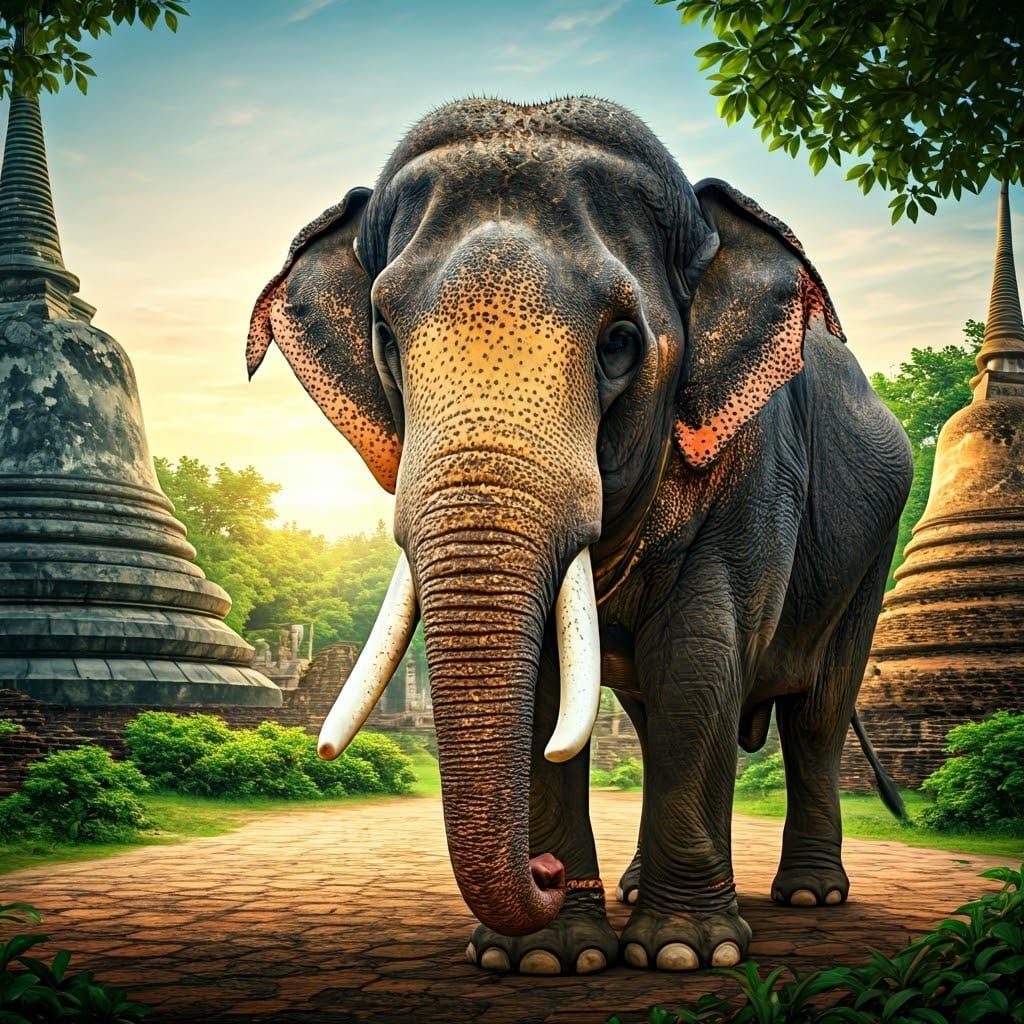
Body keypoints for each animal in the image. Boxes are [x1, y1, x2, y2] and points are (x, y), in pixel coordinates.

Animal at [246, 97, 912, 976]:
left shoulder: (755, 463)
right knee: (652, 711)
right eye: (385, 335)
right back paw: (632, 890)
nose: (549, 874)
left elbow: (697, 659)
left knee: (814, 716)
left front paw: (684, 953)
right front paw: (543, 958)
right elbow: (560, 687)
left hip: (871, 554)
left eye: (620, 341)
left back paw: (809, 896)